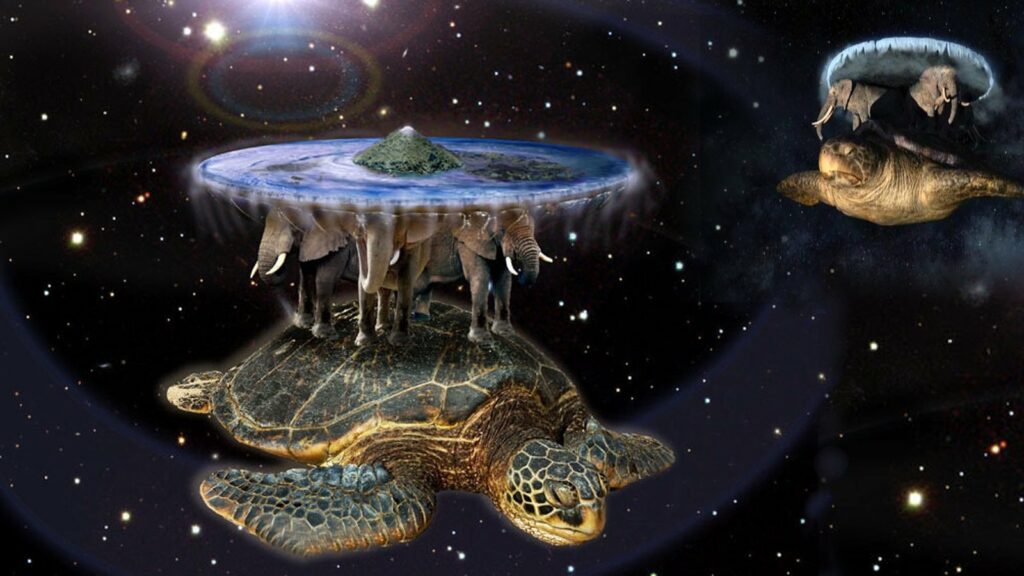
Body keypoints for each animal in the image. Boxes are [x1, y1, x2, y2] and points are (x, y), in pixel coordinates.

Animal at [251, 209, 359, 339]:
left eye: (293, 228)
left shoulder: (338, 247)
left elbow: (324, 281)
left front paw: (322, 334)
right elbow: (305, 279)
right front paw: (303, 324)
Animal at [411, 209, 553, 343]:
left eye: (533, 229)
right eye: (502, 230)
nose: (520, 273)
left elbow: (503, 281)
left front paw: (506, 333)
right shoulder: (468, 244)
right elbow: (480, 277)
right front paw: (482, 340)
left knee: (426, 285)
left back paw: (422, 318)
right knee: (416, 285)